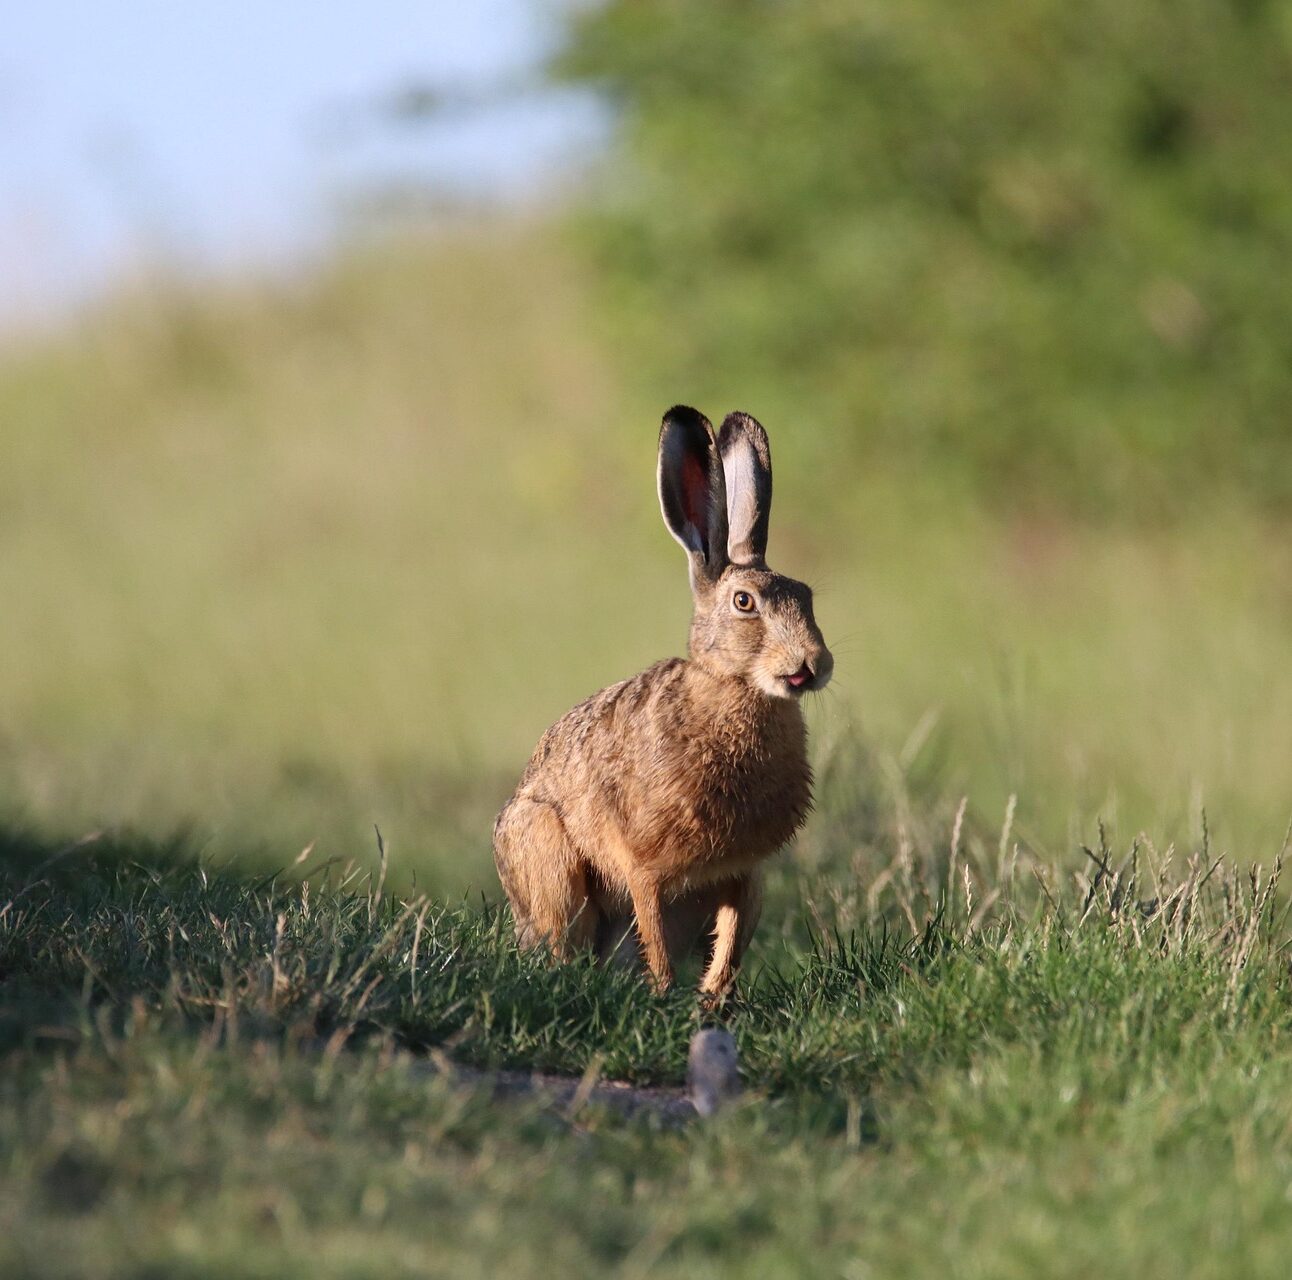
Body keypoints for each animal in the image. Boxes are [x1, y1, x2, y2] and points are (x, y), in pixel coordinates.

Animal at [492, 406, 833, 997]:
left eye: (806, 598)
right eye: (744, 603)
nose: (814, 664)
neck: (733, 690)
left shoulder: (743, 872)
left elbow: (728, 943)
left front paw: (712, 1001)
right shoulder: (644, 865)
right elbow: (652, 931)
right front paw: (668, 995)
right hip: (550, 865)